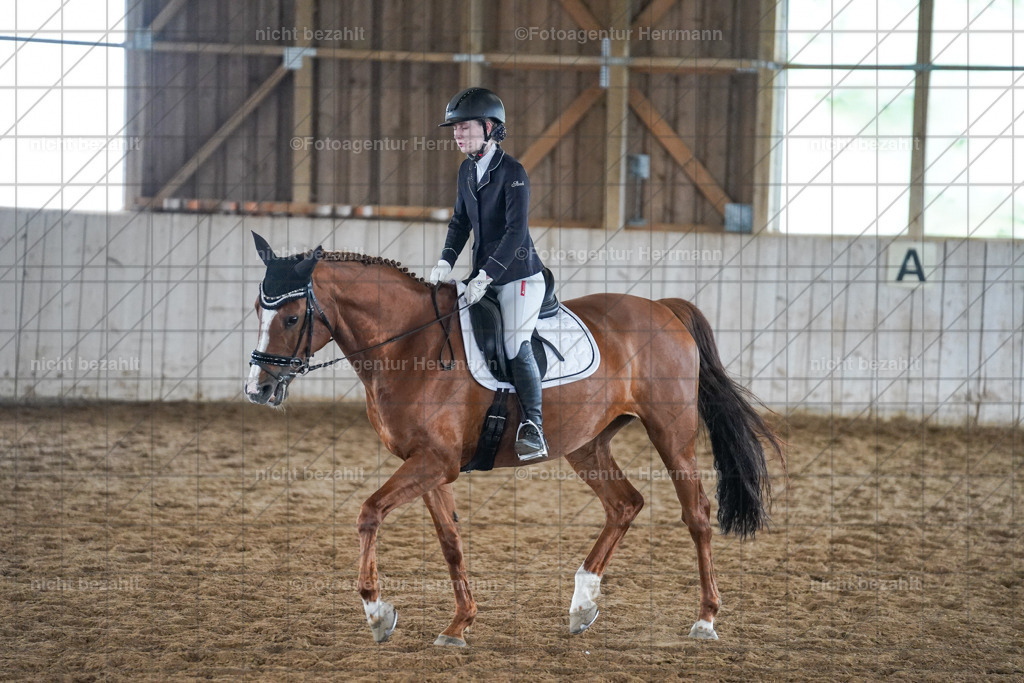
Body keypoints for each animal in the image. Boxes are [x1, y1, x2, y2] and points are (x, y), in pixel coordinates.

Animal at [244, 233, 783, 647]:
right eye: (257, 310)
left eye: (291, 317)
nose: (258, 389)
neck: (409, 343)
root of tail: (664, 308)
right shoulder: (430, 463)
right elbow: (450, 541)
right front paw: (458, 625)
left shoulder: (434, 461)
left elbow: (369, 513)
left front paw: (379, 614)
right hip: (587, 443)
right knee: (625, 504)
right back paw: (581, 605)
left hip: (671, 435)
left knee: (697, 515)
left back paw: (705, 619)